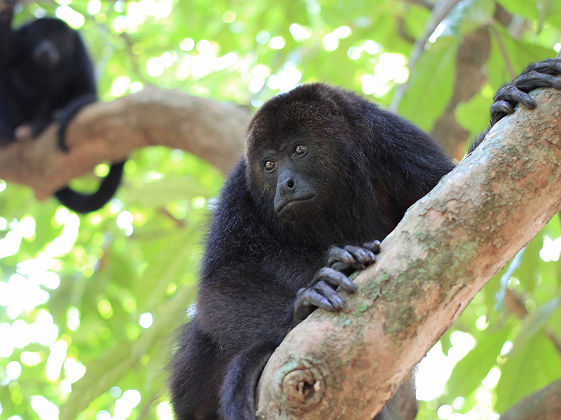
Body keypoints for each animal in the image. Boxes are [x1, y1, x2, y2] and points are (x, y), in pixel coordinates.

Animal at [0, 9, 124, 213]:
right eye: (39, 37)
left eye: (57, 41)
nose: (46, 49)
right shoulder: (18, 39)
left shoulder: (80, 52)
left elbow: (86, 90)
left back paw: (43, 122)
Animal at [170, 60, 560, 420]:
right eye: (268, 165)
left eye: (299, 150)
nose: (285, 184)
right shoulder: (239, 189)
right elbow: (219, 288)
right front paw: (303, 305)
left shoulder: (391, 138)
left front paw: (502, 106)